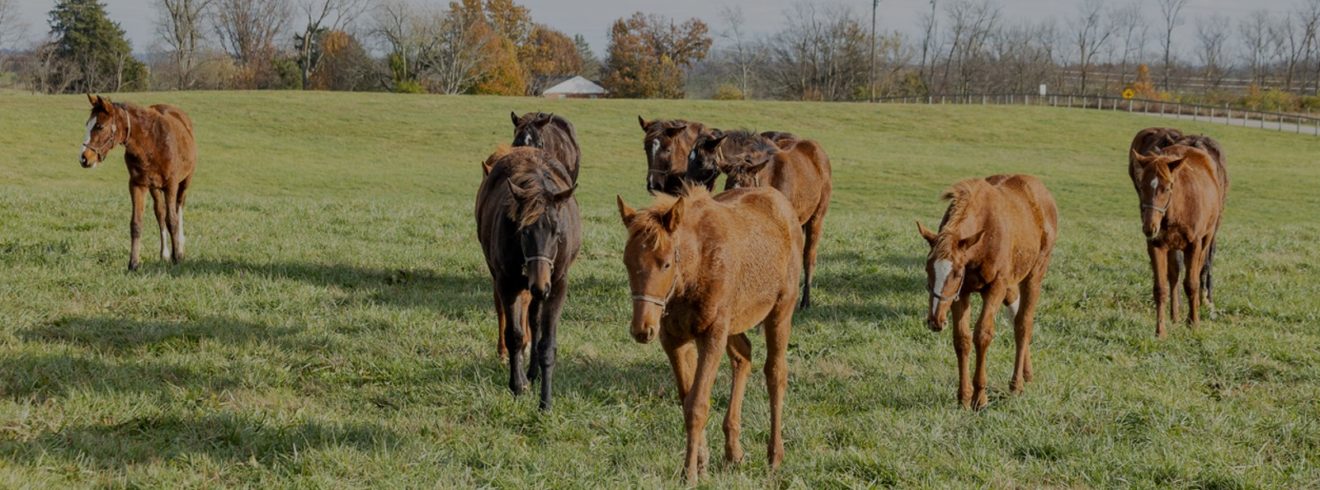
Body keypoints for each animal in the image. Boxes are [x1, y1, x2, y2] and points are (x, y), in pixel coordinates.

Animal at [77, 95, 195, 272]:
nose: (84, 158)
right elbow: (137, 223)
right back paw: (164, 254)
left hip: (184, 182)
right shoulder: (137, 185)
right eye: (87, 124)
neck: (151, 143)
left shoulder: (171, 185)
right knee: (160, 213)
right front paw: (133, 263)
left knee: (179, 208)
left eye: (99, 126)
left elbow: (172, 221)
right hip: (154, 189)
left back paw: (180, 249)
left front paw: (177, 259)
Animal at [475, 144, 578, 409]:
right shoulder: (507, 282)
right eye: (524, 231)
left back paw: (534, 371)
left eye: (557, 232)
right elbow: (515, 335)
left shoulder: (558, 285)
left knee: (534, 319)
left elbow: (547, 344)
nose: (540, 285)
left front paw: (546, 403)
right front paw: (517, 385)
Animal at [620, 184, 802, 483]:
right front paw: (702, 462)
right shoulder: (674, 340)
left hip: (781, 310)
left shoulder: (712, 334)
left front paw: (690, 473)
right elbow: (686, 399)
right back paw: (733, 452)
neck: (695, 268)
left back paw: (774, 456)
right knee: (743, 357)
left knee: (775, 372)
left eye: (666, 264)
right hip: (734, 321)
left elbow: (697, 405)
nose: (643, 329)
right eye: (626, 262)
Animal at [686, 128, 828, 309]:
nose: (687, 188)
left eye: (702, 163)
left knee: (809, 255)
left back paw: (805, 301)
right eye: (728, 185)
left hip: (817, 218)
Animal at [918, 175, 1061, 409]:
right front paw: (964, 396)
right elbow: (962, 339)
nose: (935, 320)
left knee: (1023, 323)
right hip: (1012, 280)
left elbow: (982, 335)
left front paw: (980, 397)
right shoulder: (961, 293)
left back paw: (1016, 384)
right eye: (927, 268)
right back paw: (1027, 373)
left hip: (1035, 272)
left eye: (956, 273)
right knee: (1015, 314)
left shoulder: (995, 287)